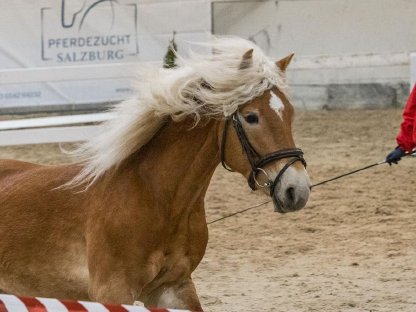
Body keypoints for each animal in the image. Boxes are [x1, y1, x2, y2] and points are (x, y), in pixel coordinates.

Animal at [0, 37, 310, 310]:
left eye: (290, 113)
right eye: (251, 117)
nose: (296, 190)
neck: (158, 200)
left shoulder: (173, 287)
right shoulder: (114, 291)